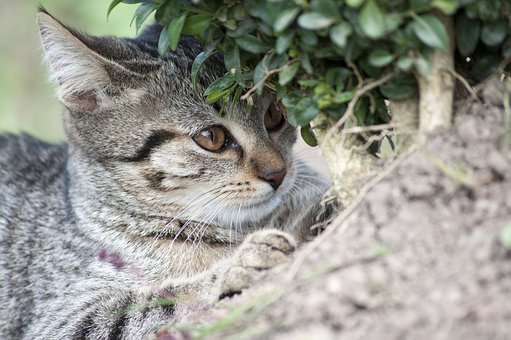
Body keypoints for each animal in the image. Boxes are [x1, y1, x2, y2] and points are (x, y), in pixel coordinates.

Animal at [0, 9, 332, 338]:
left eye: (274, 114)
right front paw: (239, 265)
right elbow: (153, 304)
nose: (277, 173)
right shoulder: (59, 320)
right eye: (211, 137)